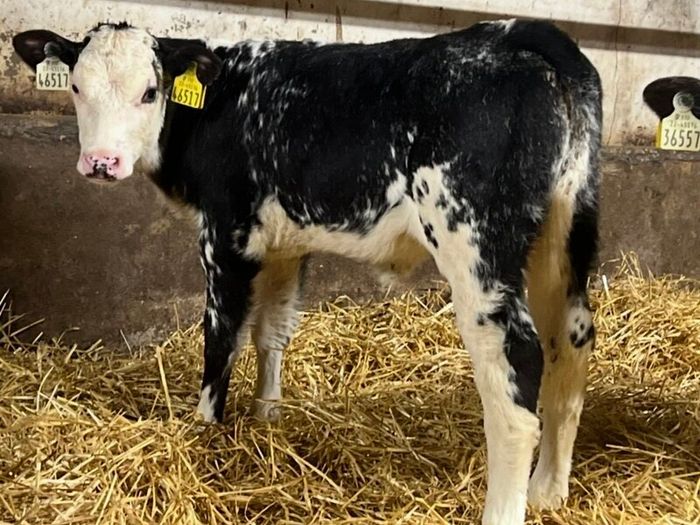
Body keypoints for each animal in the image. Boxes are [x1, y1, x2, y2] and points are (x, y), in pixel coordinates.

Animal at [13, 19, 601, 525]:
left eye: (150, 93)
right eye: (76, 87)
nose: (101, 163)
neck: (224, 103)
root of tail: (521, 34)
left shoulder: (225, 232)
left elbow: (221, 337)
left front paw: (205, 429)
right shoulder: (284, 243)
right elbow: (272, 330)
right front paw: (267, 415)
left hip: (476, 245)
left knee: (516, 364)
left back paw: (505, 507)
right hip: (563, 233)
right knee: (570, 341)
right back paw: (549, 490)